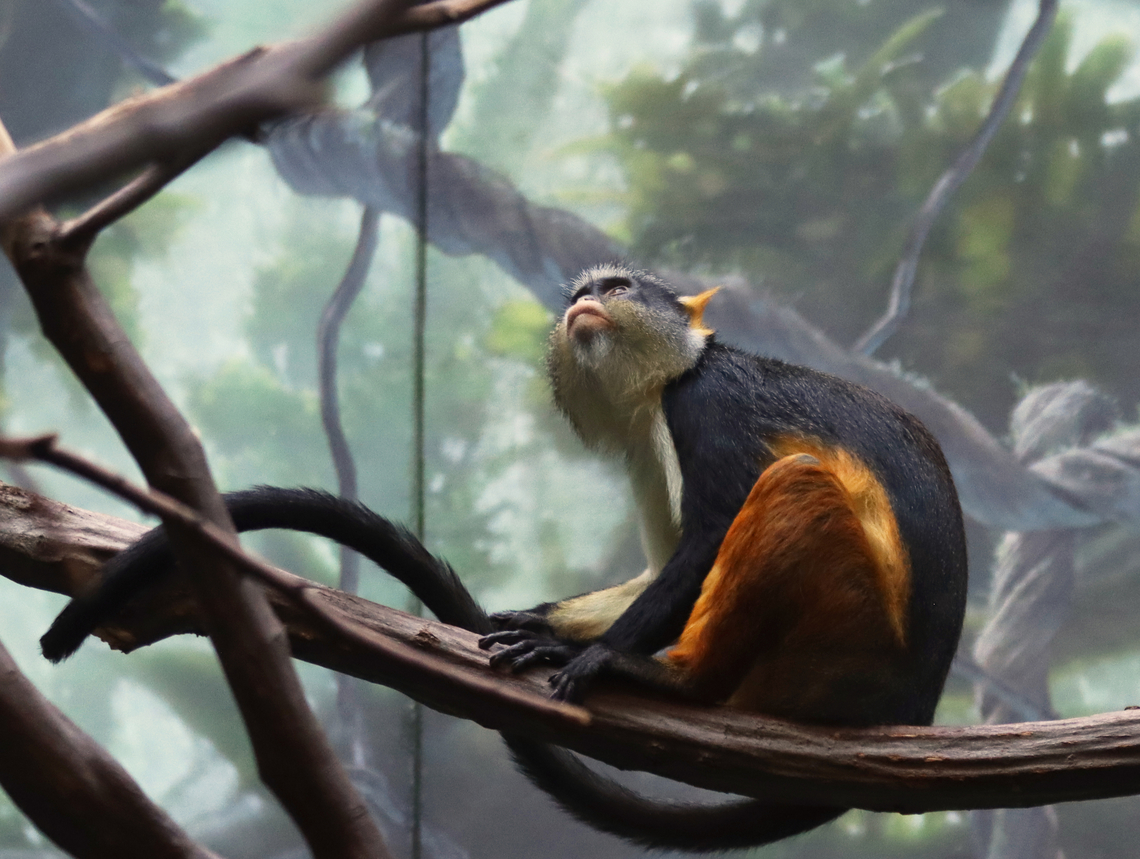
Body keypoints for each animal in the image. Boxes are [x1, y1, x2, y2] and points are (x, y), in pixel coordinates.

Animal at [40, 264, 967, 851]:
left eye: (617, 288)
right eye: (580, 292)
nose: (586, 303)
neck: (670, 373)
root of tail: (909, 703)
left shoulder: (703, 407)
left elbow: (707, 536)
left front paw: (588, 652)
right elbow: (664, 559)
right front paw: (536, 623)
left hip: (845, 636)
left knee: (797, 482)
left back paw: (673, 678)